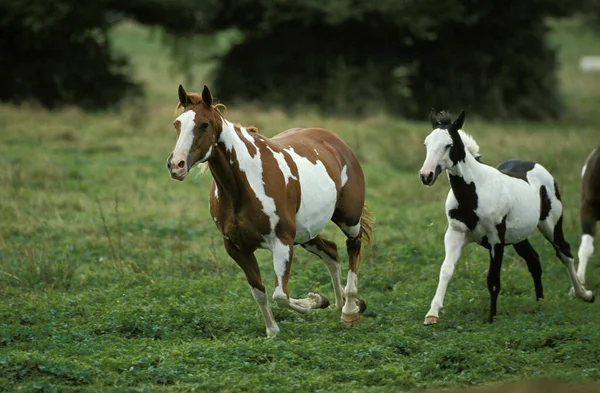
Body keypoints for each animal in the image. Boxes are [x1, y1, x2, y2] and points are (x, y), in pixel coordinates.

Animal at [164, 84, 370, 336]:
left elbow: (280, 295)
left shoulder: (282, 242)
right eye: (177, 124)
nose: (176, 165)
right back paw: (341, 304)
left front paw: (315, 300)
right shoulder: (237, 248)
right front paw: (273, 331)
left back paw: (349, 310)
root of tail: (337, 143)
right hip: (306, 233)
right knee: (331, 252)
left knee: (353, 246)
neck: (241, 187)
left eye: (204, 125)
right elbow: (259, 292)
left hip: (348, 219)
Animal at [420, 108, 592, 324]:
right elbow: (446, 270)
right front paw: (432, 314)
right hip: (519, 236)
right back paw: (540, 303)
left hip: (551, 225)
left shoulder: (496, 240)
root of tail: (539, 168)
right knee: (534, 260)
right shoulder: (455, 234)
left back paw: (584, 294)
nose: (426, 175)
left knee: (565, 253)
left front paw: (491, 318)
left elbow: (493, 279)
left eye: (448, 145)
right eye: (426, 143)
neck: (475, 192)